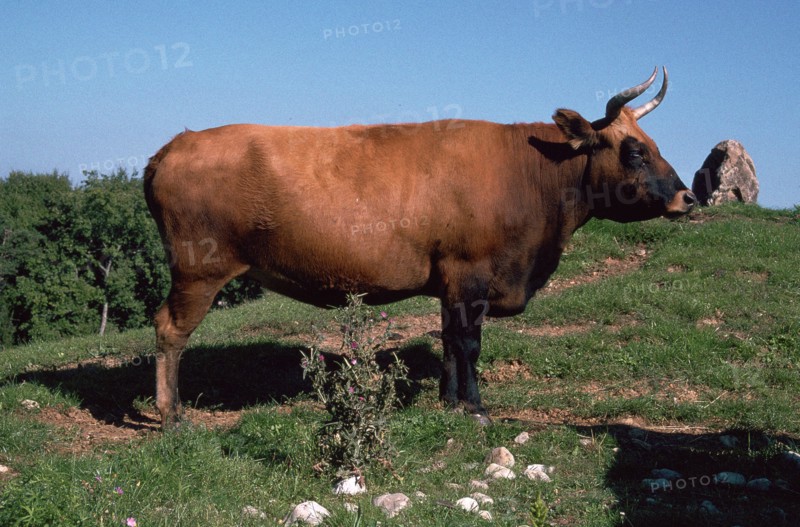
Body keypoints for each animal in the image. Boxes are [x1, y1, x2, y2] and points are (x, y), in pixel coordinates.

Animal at [144, 67, 696, 428]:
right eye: (634, 151)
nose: (687, 197)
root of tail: (175, 144)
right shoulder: (470, 273)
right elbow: (469, 343)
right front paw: (476, 409)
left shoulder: (450, 282)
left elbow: (450, 342)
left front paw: (449, 401)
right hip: (199, 269)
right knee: (170, 329)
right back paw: (172, 416)